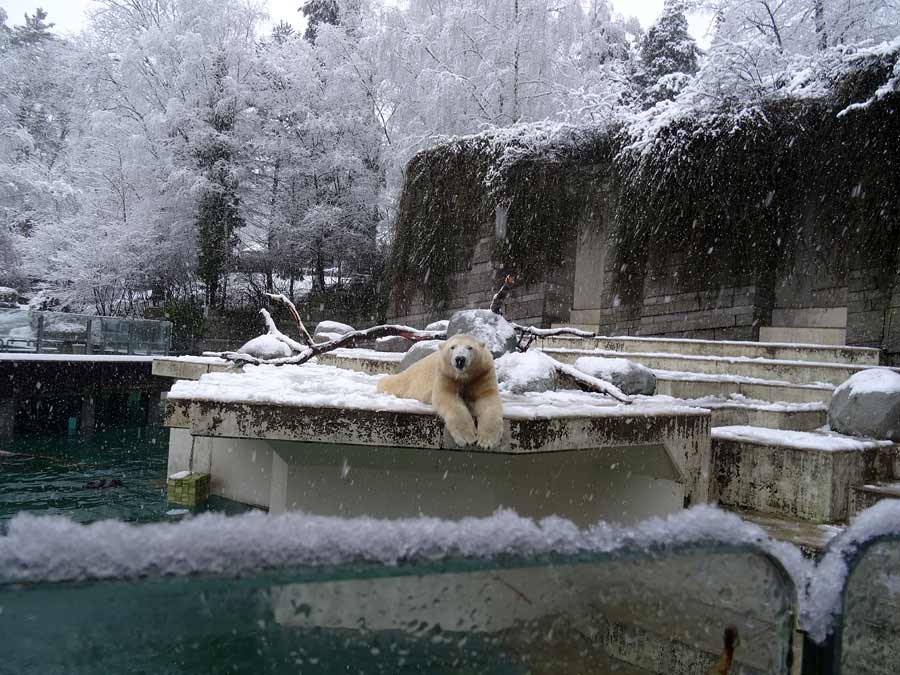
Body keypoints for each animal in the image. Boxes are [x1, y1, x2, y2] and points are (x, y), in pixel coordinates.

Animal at [374, 334, 506, 448]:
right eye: (452, 347)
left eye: (470, 347)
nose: (460, 359)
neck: (463, 377)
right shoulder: (445, 374)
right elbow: (446, 396)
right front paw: (467, 437)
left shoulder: (482, 374)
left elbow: (488, 398)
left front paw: (487, 441)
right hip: (409, 379)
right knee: (393, 382)